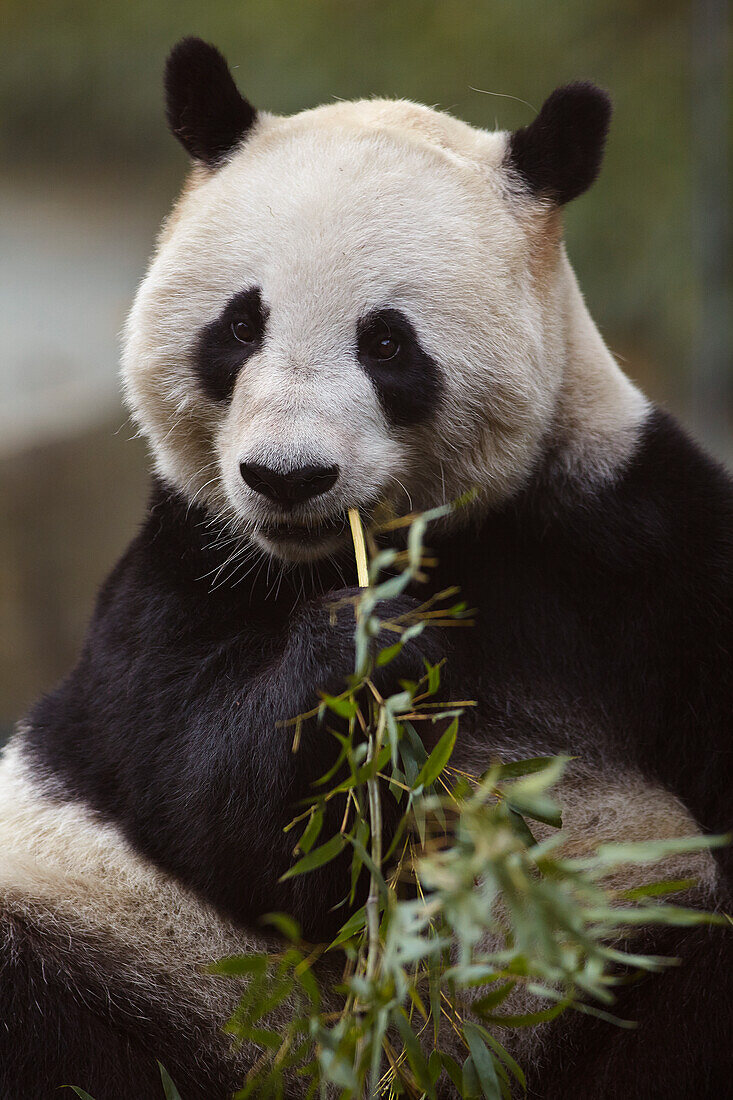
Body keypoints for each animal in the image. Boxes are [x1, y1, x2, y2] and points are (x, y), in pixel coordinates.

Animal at [1, 36, 730, 1100]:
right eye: (240, 326)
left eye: (387, 342)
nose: (287, 477)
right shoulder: (179, 573)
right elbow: (216, 811)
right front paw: (375, 641)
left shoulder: (628, 540)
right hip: (129, 947)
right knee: (43, 1002)